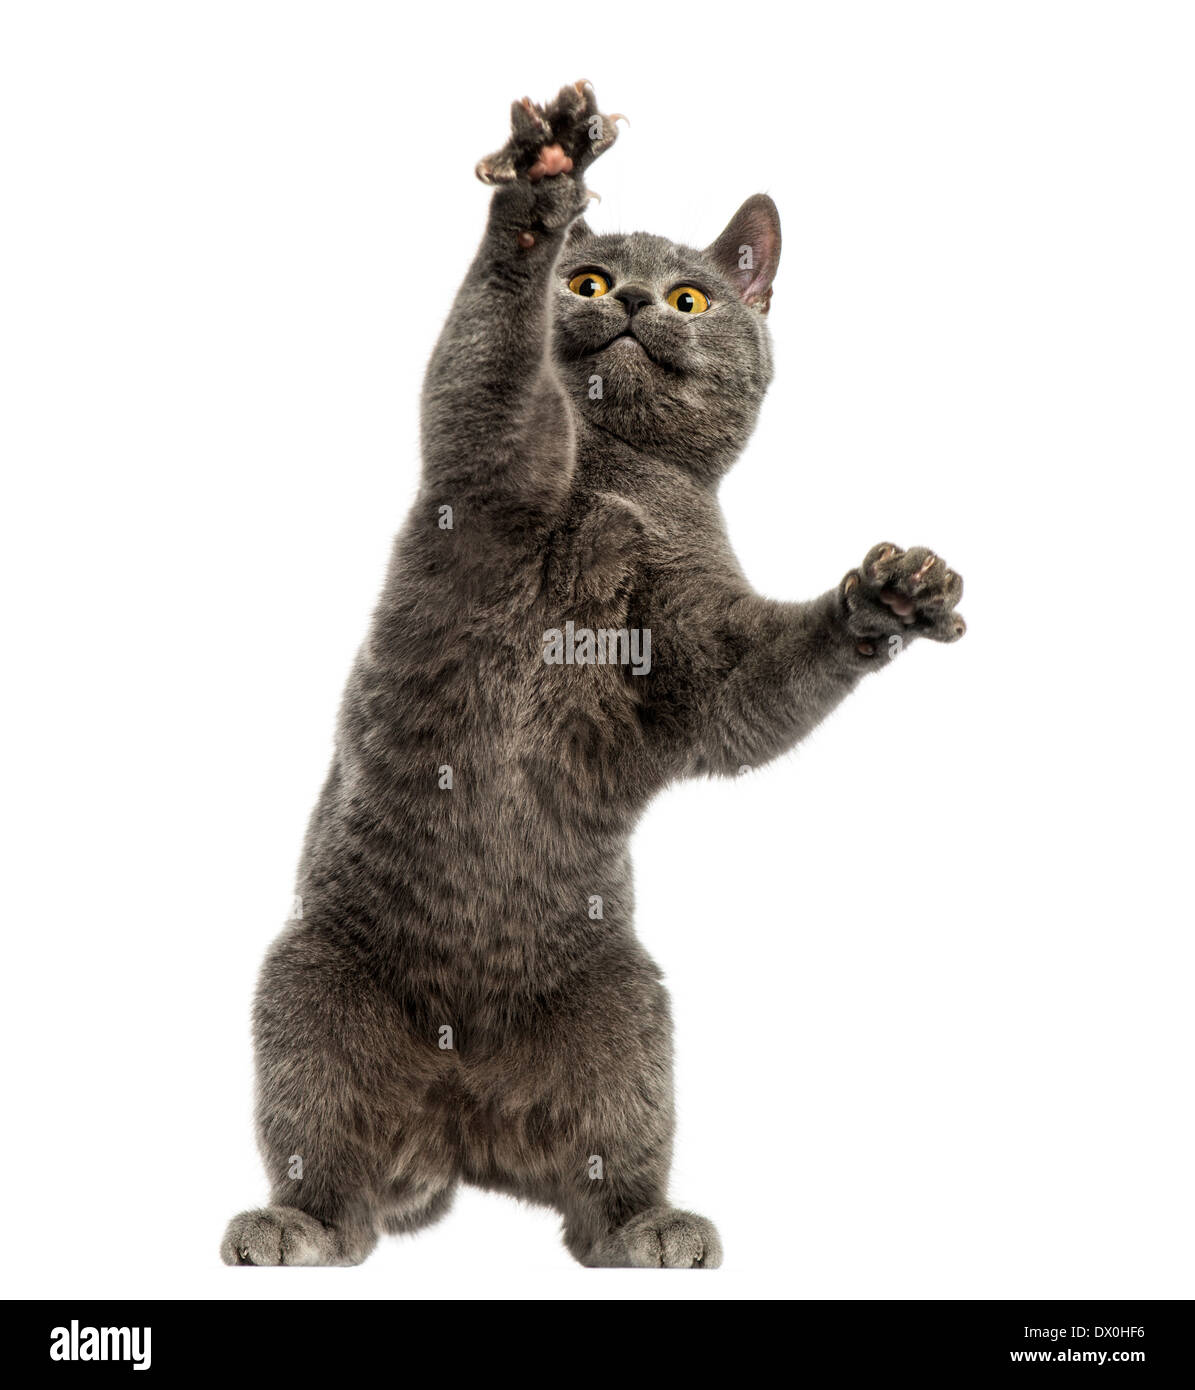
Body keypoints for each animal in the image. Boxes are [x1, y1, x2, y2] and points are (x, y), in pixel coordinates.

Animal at [222, 78, 961, 1273]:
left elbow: (752, 690)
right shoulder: (486, 470)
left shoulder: (701, 662)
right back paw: (289, 1225)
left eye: (694, 299)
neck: (618, 477)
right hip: (308, 994)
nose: (637, 303)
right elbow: (492, 373)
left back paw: (653, 1227)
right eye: (588, 281)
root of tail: (458, 1114)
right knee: (330, 1167)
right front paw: (540, 184)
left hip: (628, 1016)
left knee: (600, 1180)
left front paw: (887, 597)